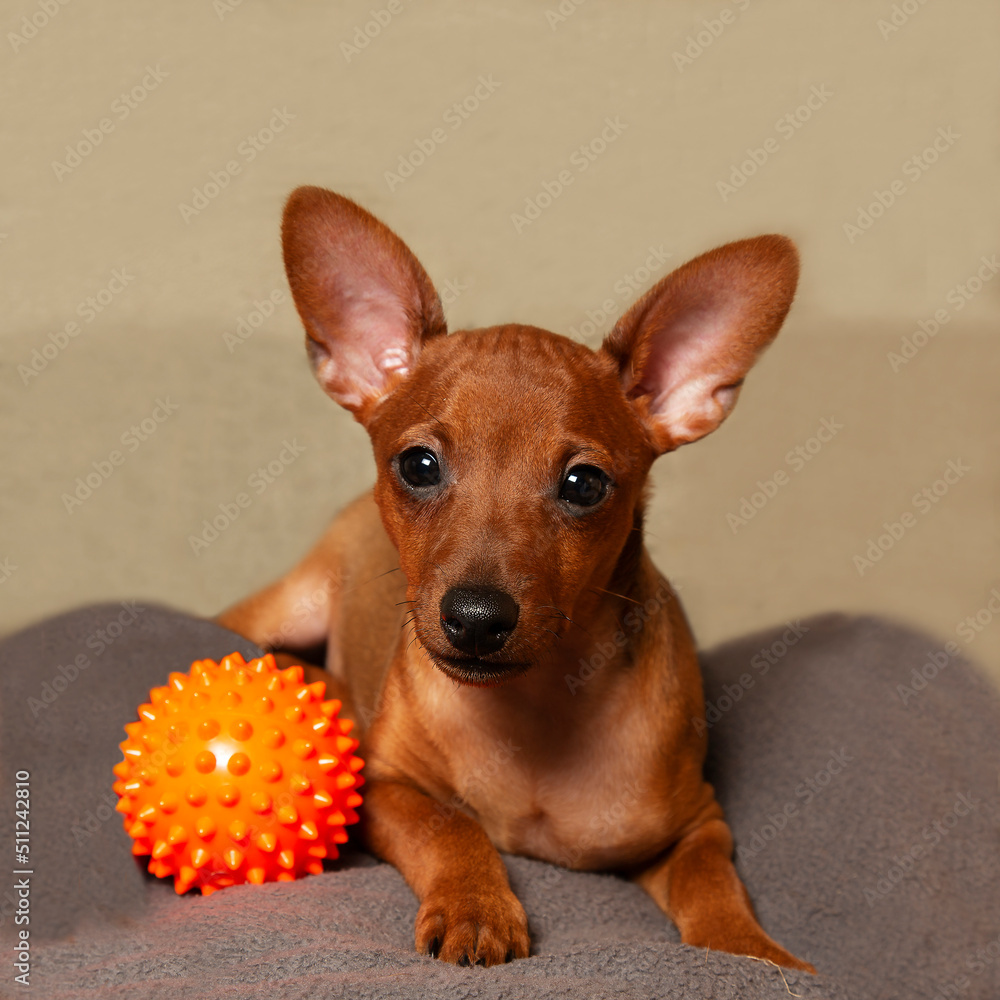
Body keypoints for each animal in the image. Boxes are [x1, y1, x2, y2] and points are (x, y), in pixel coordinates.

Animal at [219, 186, 812, 968]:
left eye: (584, 485)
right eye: (418, 466)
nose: (475, 618)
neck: (534, 716)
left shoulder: (699, 825)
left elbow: (713, 882)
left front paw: (751, 952)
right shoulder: (384, 786)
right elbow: (452, 827)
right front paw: (477, 908)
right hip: (286, 606)